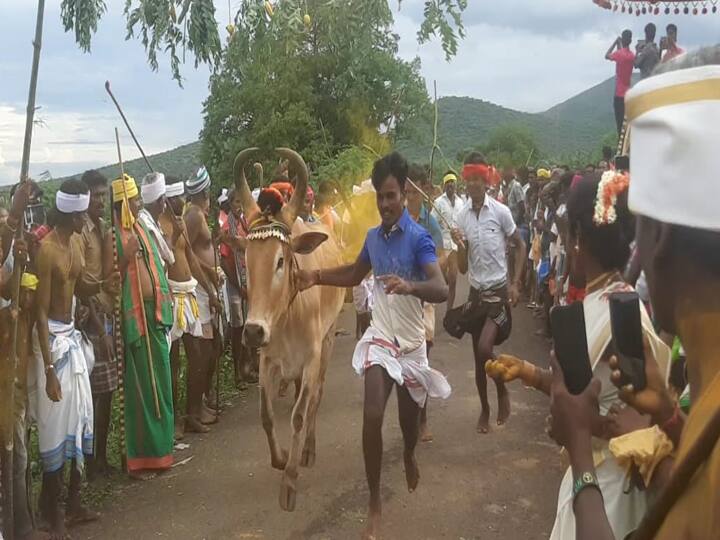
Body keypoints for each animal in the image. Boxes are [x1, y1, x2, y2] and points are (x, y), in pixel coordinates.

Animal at [231, 147, 344, 510]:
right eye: (247, 260)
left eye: (281, 260)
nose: (253, 331)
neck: (288, 317)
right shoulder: (267, 361)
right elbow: (266, 415)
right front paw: (280, 459)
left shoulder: (311, 359)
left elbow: (298, 415)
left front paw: (290, 480)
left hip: (329, 341)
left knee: (315, 398)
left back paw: (308, 449)